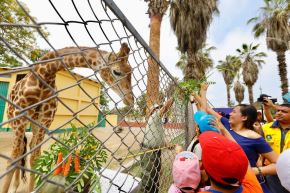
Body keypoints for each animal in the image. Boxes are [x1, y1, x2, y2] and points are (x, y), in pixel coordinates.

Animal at [1, 43, 134, 192]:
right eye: (117, 72)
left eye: (131, 71)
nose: (131, 99)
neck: (44, 75)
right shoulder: (19, 116)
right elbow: (13, 158)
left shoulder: (45, 119)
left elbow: (35, 157)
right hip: (14, 120)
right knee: (19, 151)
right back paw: (14, 186)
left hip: (34, 122)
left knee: (27, 147)